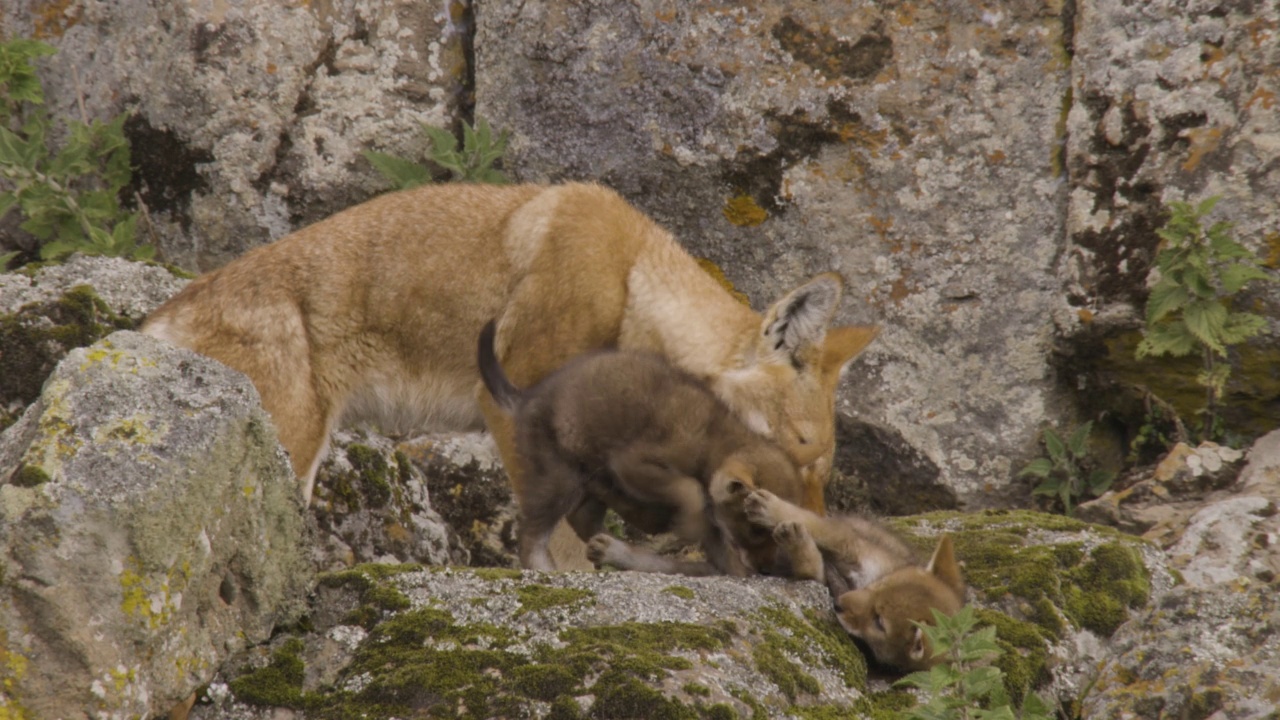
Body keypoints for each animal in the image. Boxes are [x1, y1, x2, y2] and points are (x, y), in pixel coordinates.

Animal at [142, 180, 880, 561]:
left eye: (821, 473)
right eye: (796, 456)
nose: (829, 552)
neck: (630, 280)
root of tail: (153, 322)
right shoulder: (511, 403)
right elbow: (555, 543)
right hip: (291, 457)